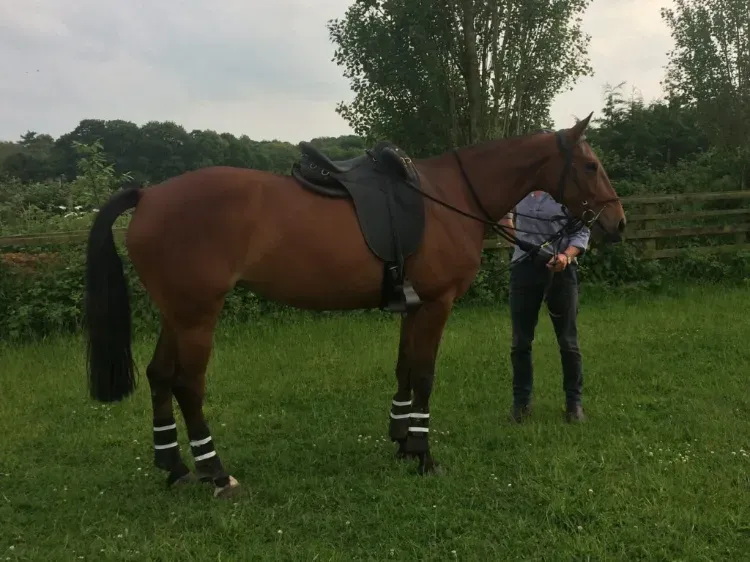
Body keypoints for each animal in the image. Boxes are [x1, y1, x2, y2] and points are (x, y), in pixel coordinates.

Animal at [83, 112, 628, 494]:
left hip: (176, 314)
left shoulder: (413, 305)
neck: (449, 197)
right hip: (198, 315)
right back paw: (216, 474)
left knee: (158, 375)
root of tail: (149, 195)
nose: (617, 222)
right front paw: (424, 454)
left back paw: (174, 466)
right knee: (187, 385)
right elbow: (424, 374)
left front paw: (403, 441)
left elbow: (404, 368)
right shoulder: (437, 304)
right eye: (590, 165)